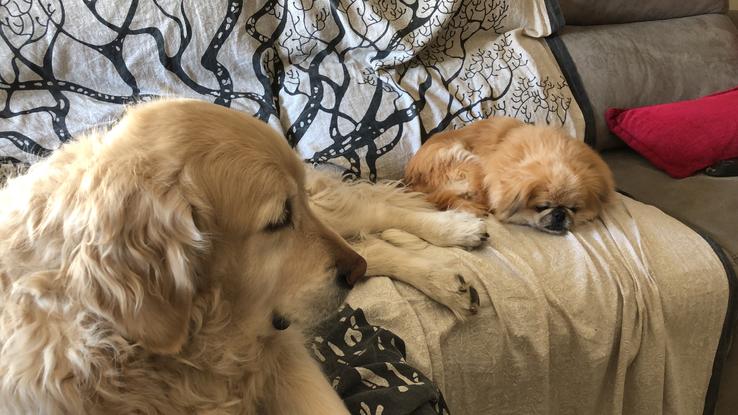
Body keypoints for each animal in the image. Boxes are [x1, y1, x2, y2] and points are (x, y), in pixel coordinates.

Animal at [0, 99, 484, 414]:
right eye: (278, 219)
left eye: (290, 208)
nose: (351, 273)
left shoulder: (280, 355)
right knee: (374, 247)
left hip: (328, 209)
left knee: (377, 214)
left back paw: (457, 232)